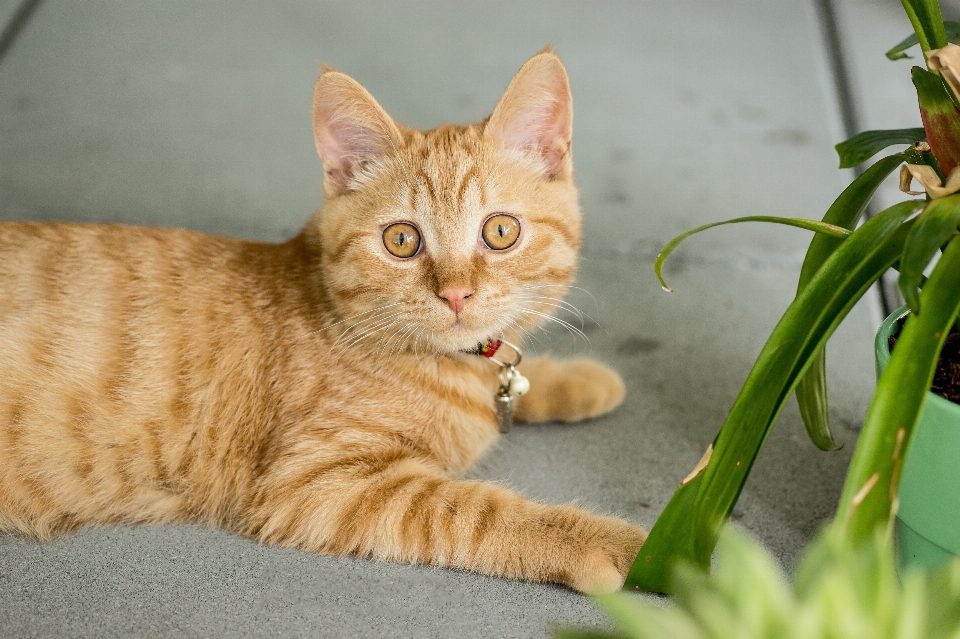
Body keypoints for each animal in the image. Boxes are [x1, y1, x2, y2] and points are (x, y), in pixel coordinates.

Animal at [0, 48, 648, 596]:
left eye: (501, 231)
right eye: (402, 240)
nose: (456, 294)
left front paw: (580, 380)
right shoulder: (316, 482)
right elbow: (478, 512)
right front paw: (624, 546)